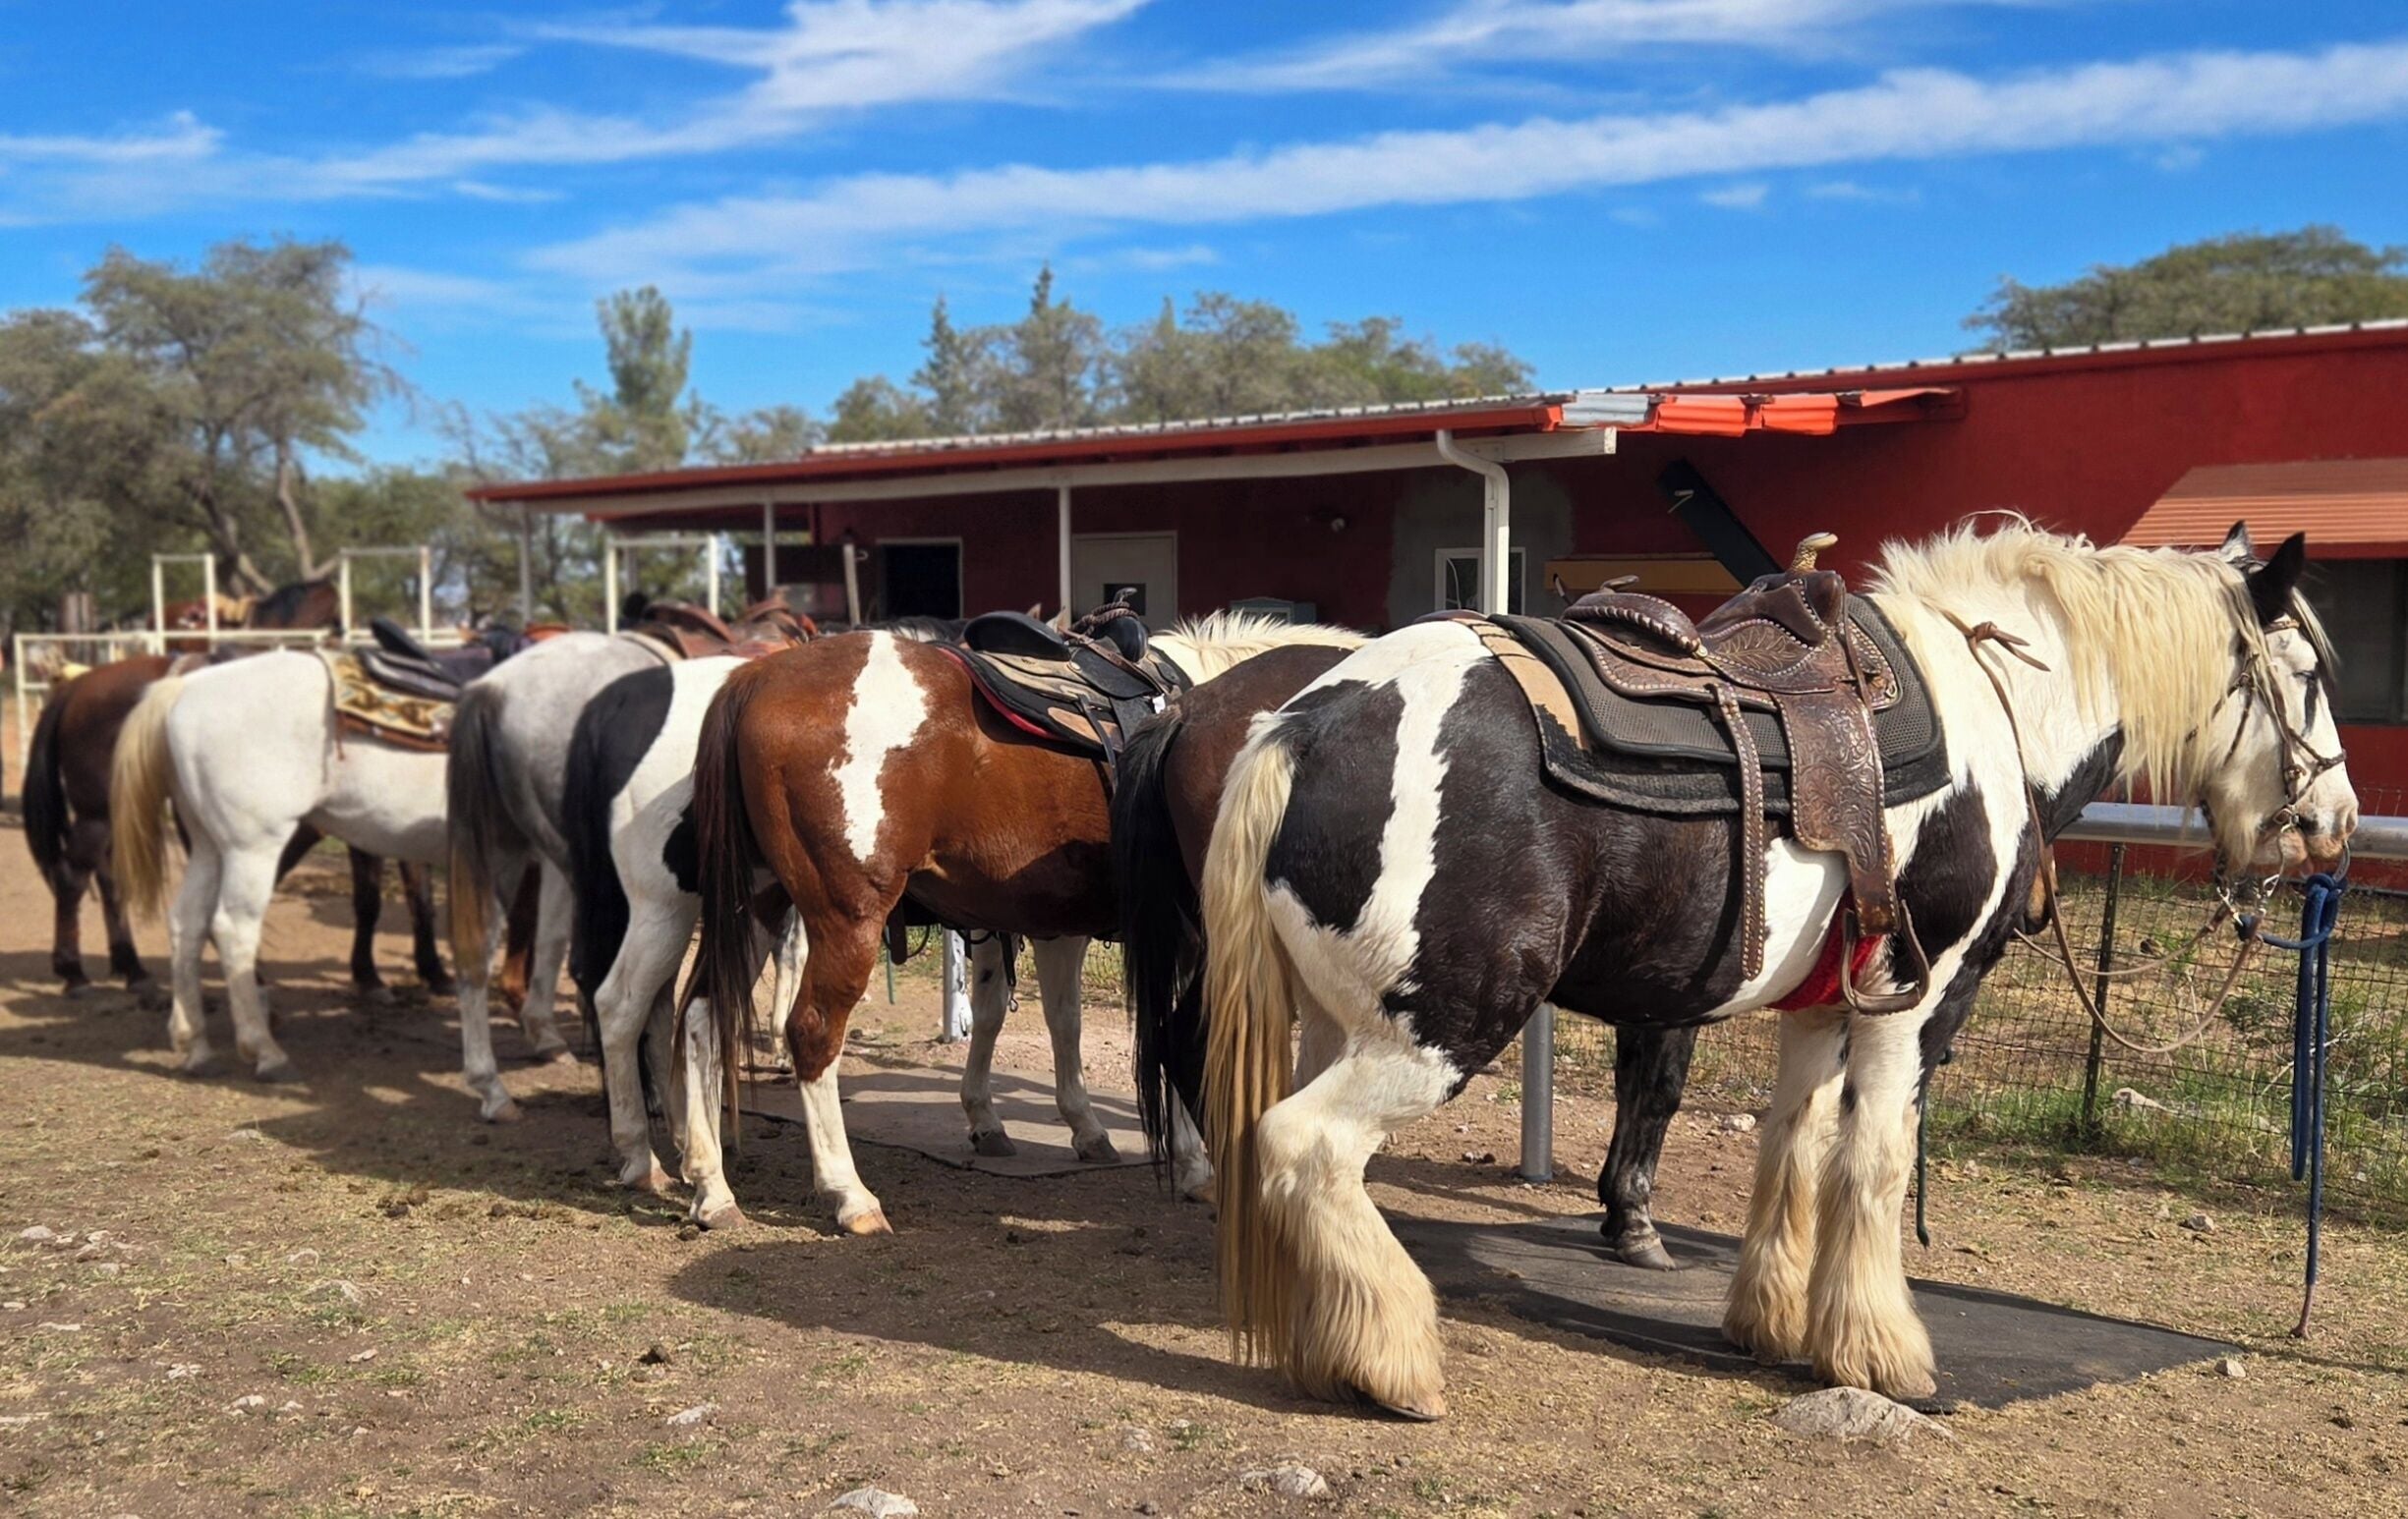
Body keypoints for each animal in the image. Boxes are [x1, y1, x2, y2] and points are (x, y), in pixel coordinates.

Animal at [445, 597, 812, 1122]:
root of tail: (492, 689)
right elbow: (792, 951)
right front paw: (780, 1046)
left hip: (513, 848)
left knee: (482, 953)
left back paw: (497, 1088)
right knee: (600, 974)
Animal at [686, 612, 1364, 1235]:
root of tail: (755, 678)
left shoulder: (1051, 922)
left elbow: (1041, 1018)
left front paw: (1058, 1125)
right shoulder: (1185, 931)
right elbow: (1176, 1035)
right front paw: (1196, 1162)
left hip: (757, 902)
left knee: (699, 1015)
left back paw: (711, 1186)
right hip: (846, 917)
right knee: (812, 1032)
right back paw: (847, 1193)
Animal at [1195, 521, 2355, 1417]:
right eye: (2302, 678)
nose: (2334, 825)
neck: (1996, 705)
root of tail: (1306, 723)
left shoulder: (1819, 1007)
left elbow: (1791, 1149)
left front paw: (1770, 1318)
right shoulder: (1919, 1001)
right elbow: (1875, 1160)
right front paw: (1879, 1351)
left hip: (1337, 1022)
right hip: (1439, 1026)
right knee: (1304, 1146)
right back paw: (1394, 1363)